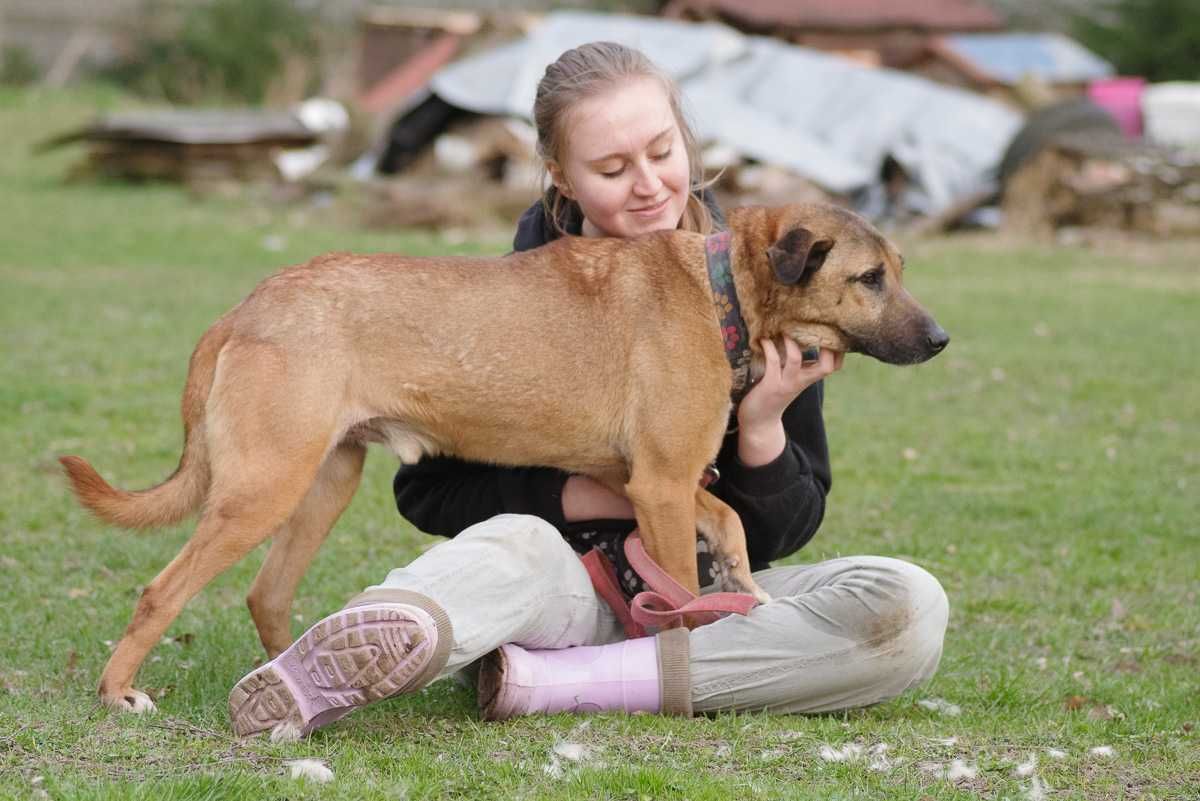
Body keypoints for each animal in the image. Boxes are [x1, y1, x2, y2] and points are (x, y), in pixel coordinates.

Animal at [60, 201, 945, 714]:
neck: (719, 288)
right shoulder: (659, 485)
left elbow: (726, 518)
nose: (940, 339)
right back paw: (119, 690)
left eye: (900, 271)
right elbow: (681, 599)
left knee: (266, 593)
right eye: (870, 277)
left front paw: (743, 586)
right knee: (161, 589)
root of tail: (246, 308)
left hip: (321, 482)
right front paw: (696, 644)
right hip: (262, 489)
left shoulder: (651, 480)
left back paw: (304, 672)